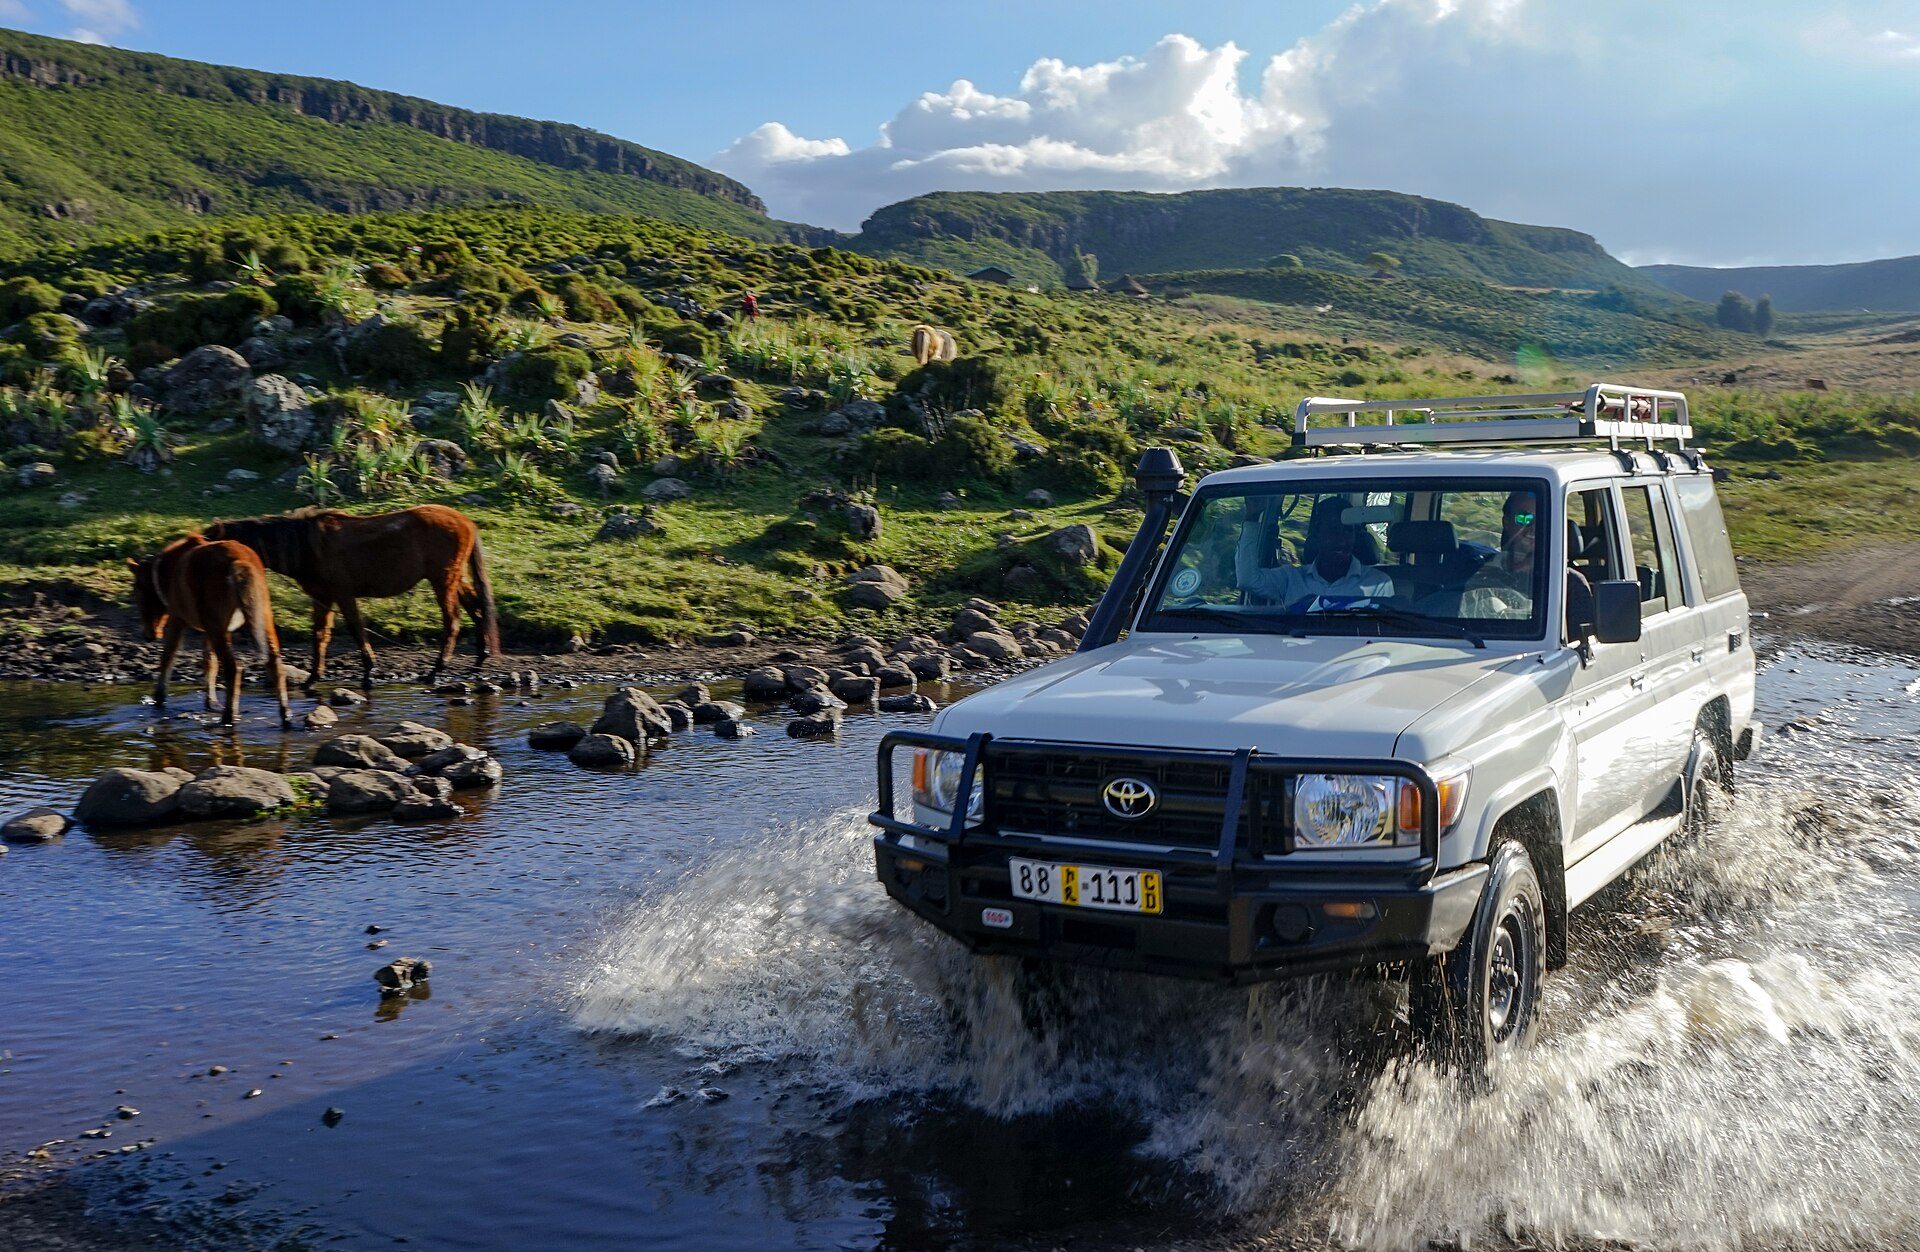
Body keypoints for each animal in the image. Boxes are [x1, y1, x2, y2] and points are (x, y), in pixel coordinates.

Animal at [130, 534, 293, 729]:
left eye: (137, 590)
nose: (148, 634)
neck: (167, 571)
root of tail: (239, 562)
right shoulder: (210, 630)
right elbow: (210, 664)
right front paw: (211, 702)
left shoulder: (178, 619)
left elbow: (167, 658)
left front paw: (159, 698)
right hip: (262, 618)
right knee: (275, 665)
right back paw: (285, 716)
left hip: (217, 627)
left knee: (233, 669)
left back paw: (228, 717)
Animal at [203, 505, 498, 687]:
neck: (306, 546)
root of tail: (466, 521)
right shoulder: (322, 597)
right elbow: (320, 636)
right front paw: (313, 677)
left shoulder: (343, 594)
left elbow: (356, 629)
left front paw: (368, 670)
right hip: (454, 578)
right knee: (477, 610)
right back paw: (480, 657)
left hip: (443, 579)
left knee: (453, 621)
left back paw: (438, 669)